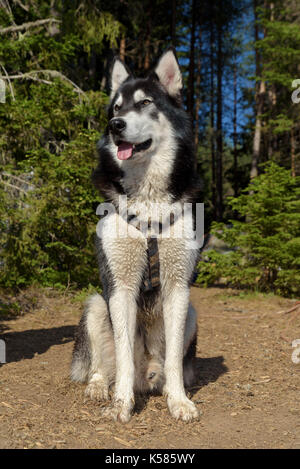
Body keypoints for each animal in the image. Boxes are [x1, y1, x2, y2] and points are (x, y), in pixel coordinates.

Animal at [70, 46, 202, 420]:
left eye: (144, 103)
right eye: (116, 108)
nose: (116, 126)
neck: (148, 203)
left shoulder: (178, 288)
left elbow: (174, 359)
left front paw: (179, 400)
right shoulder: (120, 286)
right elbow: (124, 355)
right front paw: (121, 404)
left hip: (192, 312)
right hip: (95, 304)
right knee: (103, 365)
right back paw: (100, 387)